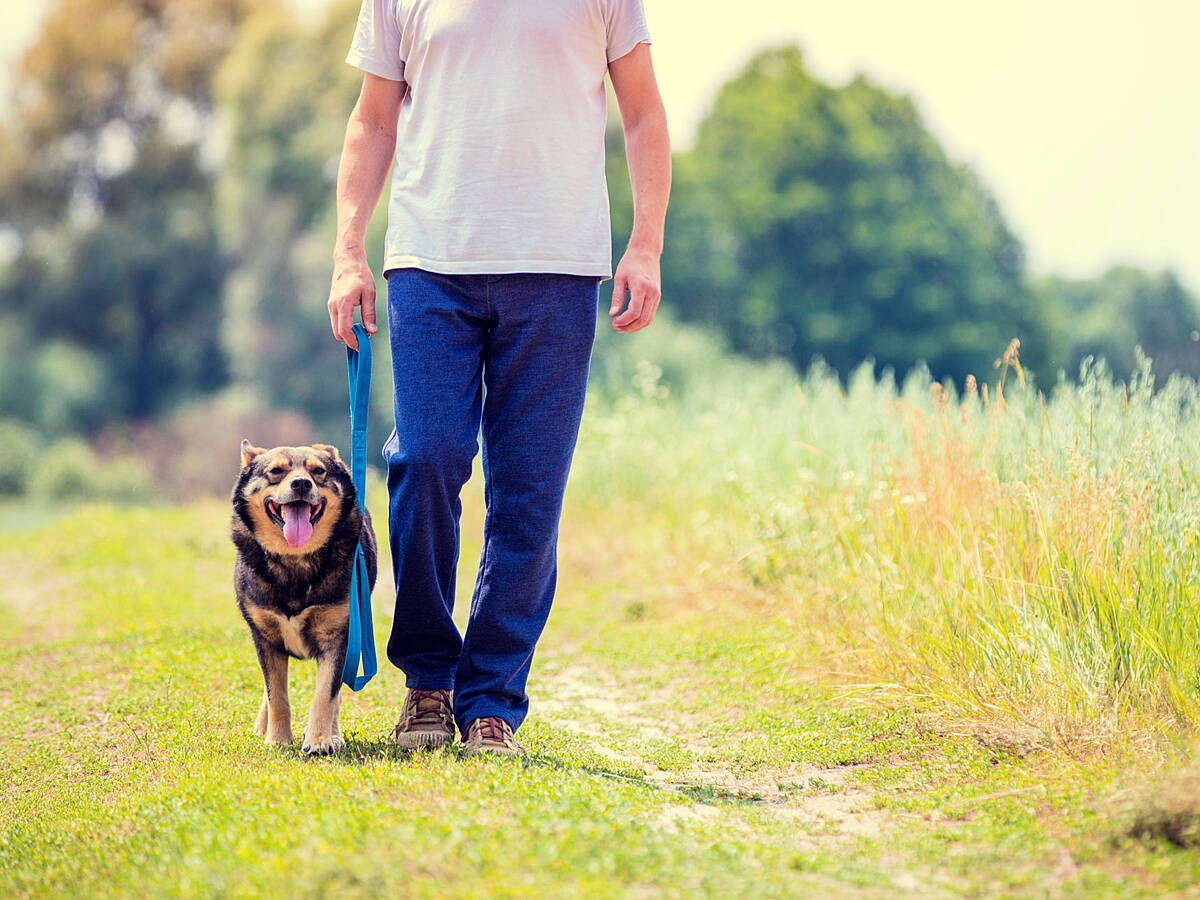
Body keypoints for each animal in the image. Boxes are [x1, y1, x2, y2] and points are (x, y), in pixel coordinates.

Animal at [226, 441, 372, 758]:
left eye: (317, 471)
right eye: (275, 471)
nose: (302, 484)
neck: (295, 558)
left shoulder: (338, 636)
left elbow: (326, 695)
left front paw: (319, 740)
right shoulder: (265, 637)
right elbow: (276, 694)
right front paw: (277, 740)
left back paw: (334, 734)